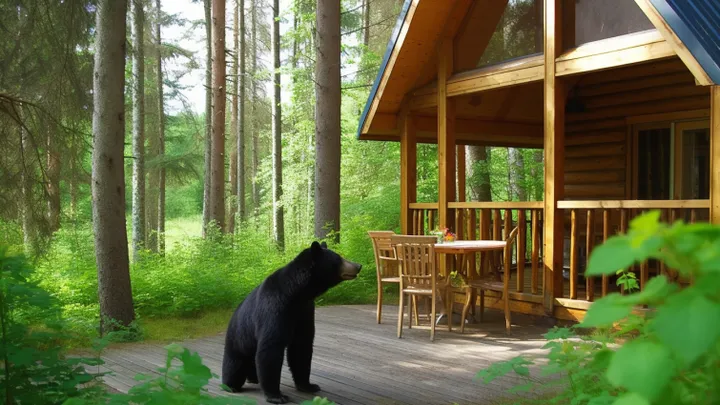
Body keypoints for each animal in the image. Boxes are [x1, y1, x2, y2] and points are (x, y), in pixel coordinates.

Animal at [221, 241, 362, 404]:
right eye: (339, 258)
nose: (358, 265)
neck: (296, 294)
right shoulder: (274, 308)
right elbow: (271, 347)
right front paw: (276, 395)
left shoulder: (304, 311)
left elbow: (302, 347)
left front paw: (308, 385)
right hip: (238, 338)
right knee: (234, 364)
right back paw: (231, 385)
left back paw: (253, 378)